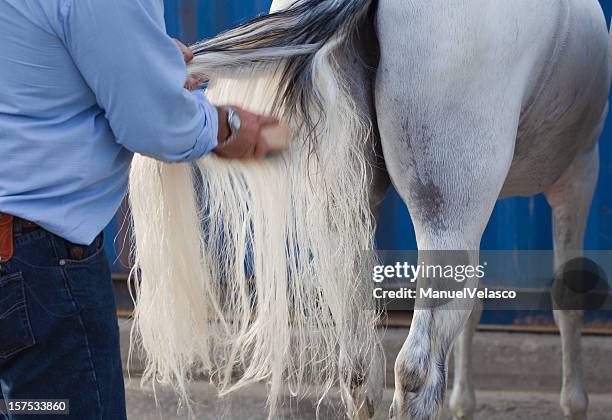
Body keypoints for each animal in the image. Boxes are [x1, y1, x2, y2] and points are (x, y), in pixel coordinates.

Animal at [126, 0, 608, 420]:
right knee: (415, 369)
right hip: (449, 212)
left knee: (358, 368)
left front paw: (464, 403)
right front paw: (574, 404)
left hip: (348, 218)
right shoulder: (578, 174)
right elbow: (566, 296)